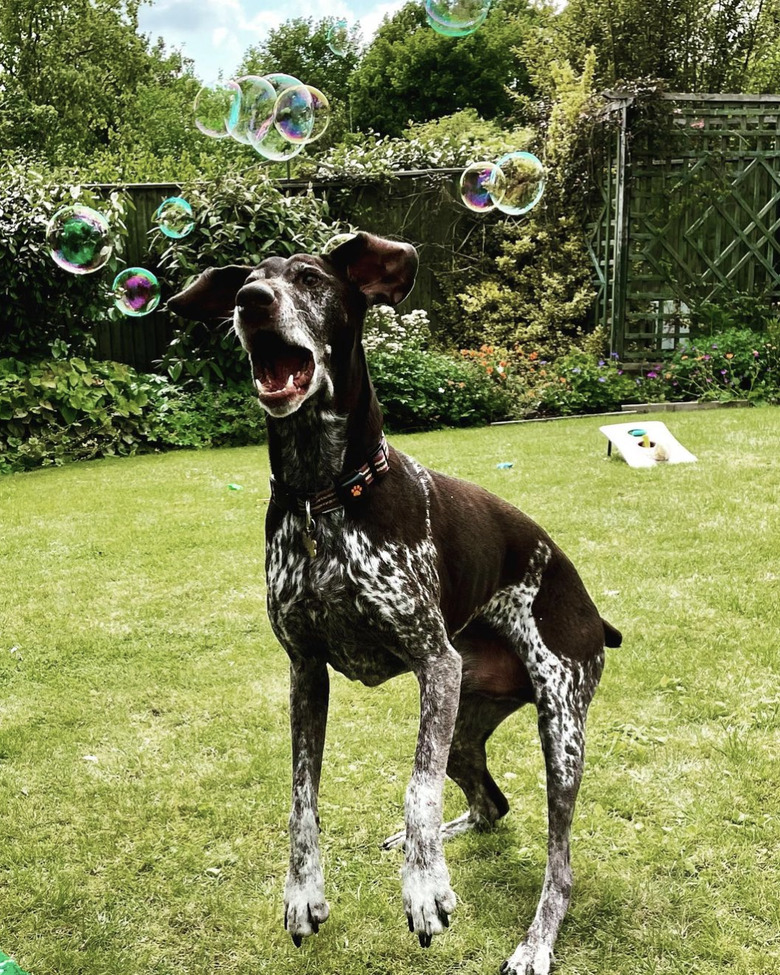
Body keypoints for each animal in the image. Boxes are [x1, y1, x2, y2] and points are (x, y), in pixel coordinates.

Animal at [169, 233, 620, 972]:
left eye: (310, 278)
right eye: (246, 282)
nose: (250, 302)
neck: (323, 498)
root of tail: (588, 604)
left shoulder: (435, 662)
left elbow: (416, 789)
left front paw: (424, 886)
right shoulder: (306, 672)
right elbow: (302, 798)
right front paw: (303, 893)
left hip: (560, 724)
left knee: (559, 862)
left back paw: (533, 941)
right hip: (465, 727)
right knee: (492, 802)